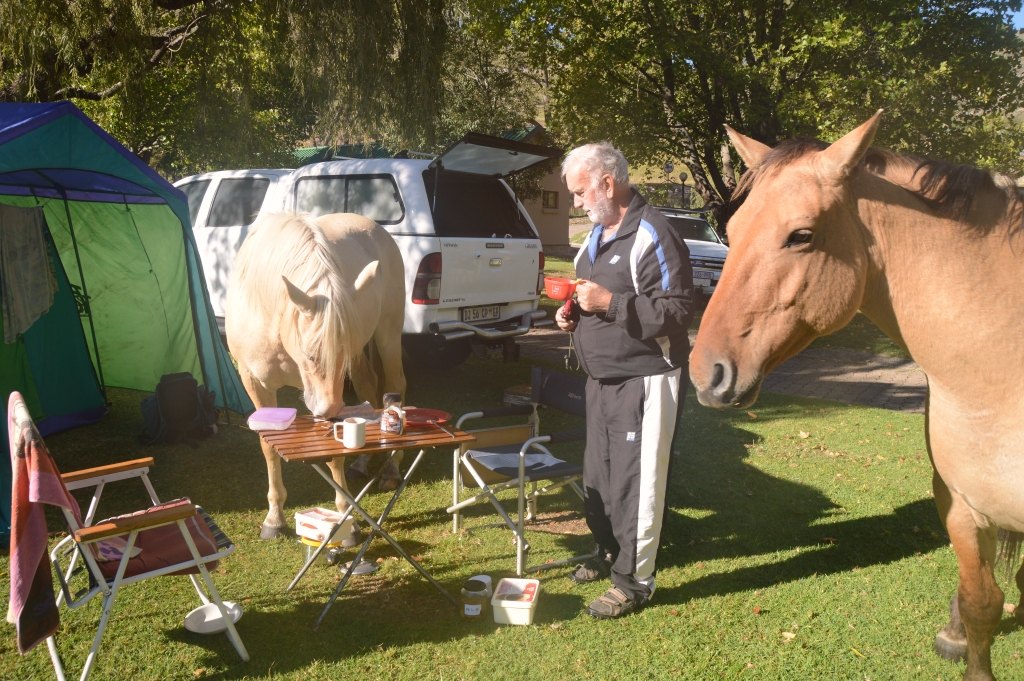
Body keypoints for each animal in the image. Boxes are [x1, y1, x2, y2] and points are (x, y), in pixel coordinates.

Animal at [226, 213, 405, 540]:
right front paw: (274, 519)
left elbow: (334, 453)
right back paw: (363, 463)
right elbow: (269, 448)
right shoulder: (255, 384)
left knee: (395, 384)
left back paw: (391, 469)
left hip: (387, 334)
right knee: (368, 386)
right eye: (310, 355)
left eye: (338, 358)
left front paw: (346, 517)